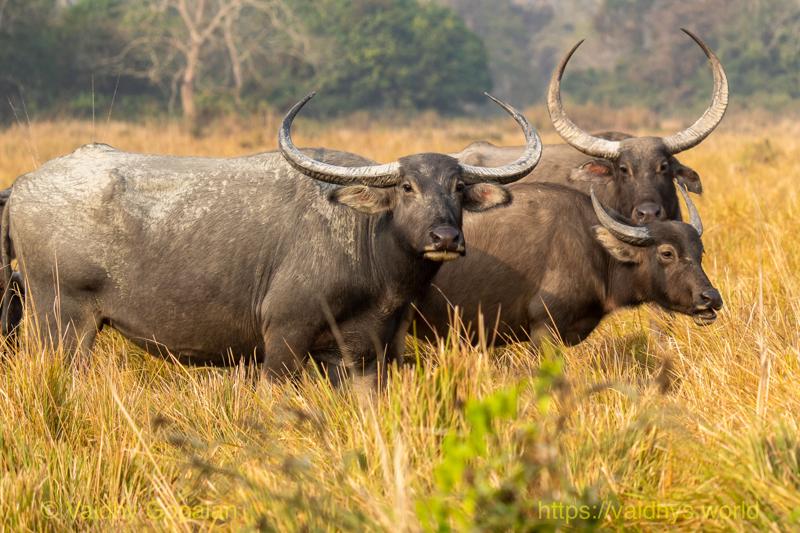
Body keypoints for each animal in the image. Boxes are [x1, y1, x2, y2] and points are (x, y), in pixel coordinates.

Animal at [1, 92, 542, 389]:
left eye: (458, 187)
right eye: (407, 187)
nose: (445, 237)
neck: (366, 245)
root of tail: (23, 184)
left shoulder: (370, 354)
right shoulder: (284, 338)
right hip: (61, 325)